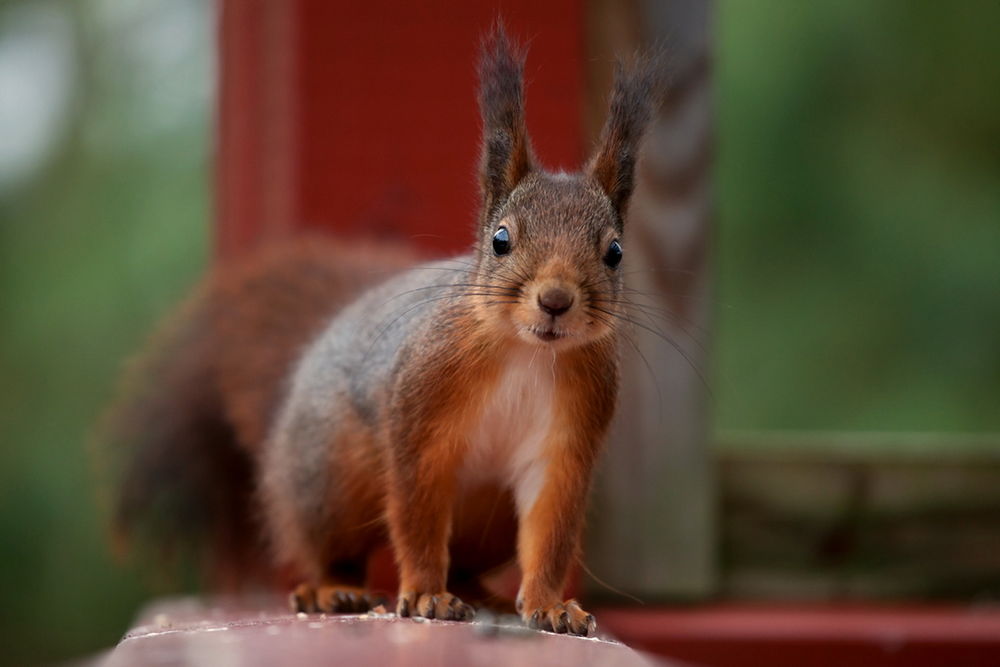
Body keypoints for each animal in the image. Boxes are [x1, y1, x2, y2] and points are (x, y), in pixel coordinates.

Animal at [105, 28, 660, 640]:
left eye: (614, 252)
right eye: (500, 240)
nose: (555, 301)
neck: (527, 352)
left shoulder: (567, 440)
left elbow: (550, 529)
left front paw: (550, 605)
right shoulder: (420, 413)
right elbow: (416, 514)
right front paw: (424, 595)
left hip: (484, 521)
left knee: (465, 561)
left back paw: (476, 591)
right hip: (325, 483)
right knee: (332, 551)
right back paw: (333, 589)